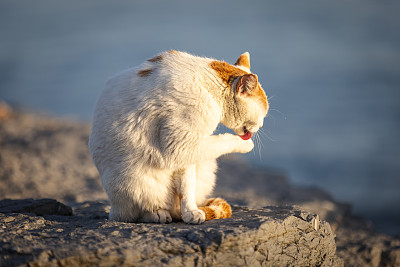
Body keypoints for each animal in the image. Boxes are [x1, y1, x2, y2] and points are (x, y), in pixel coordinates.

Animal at [88, 50, 268, 224]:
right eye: (262, 113)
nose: (261, 126)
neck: (209, 88)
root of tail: (113, 209)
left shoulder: (187, 156)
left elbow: (186, 187)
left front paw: (190, 212)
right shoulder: (181, 144)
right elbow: (224, 140)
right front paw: (246, 145)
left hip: (205, 164)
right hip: (134, 183)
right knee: (132, 214)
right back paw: (157, 214)